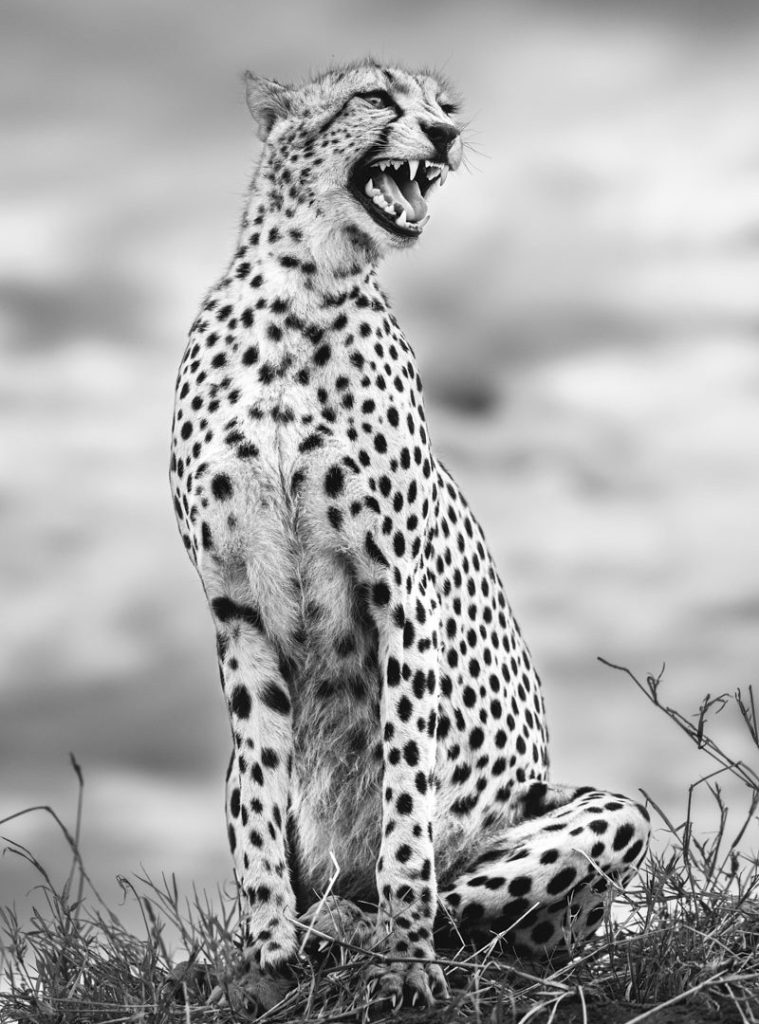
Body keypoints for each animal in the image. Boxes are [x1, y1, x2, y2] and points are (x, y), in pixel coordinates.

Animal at [169, 58, 651, 1010]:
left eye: (444, 105)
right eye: (375, 99)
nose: (445, 135)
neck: (303, 292)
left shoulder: (398, 590)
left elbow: (403, 806)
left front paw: (401, 960)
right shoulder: (235, 608)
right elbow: (256, 795)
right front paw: (265, 955)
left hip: (592, 826)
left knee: (468, 908)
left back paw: (359, 929)